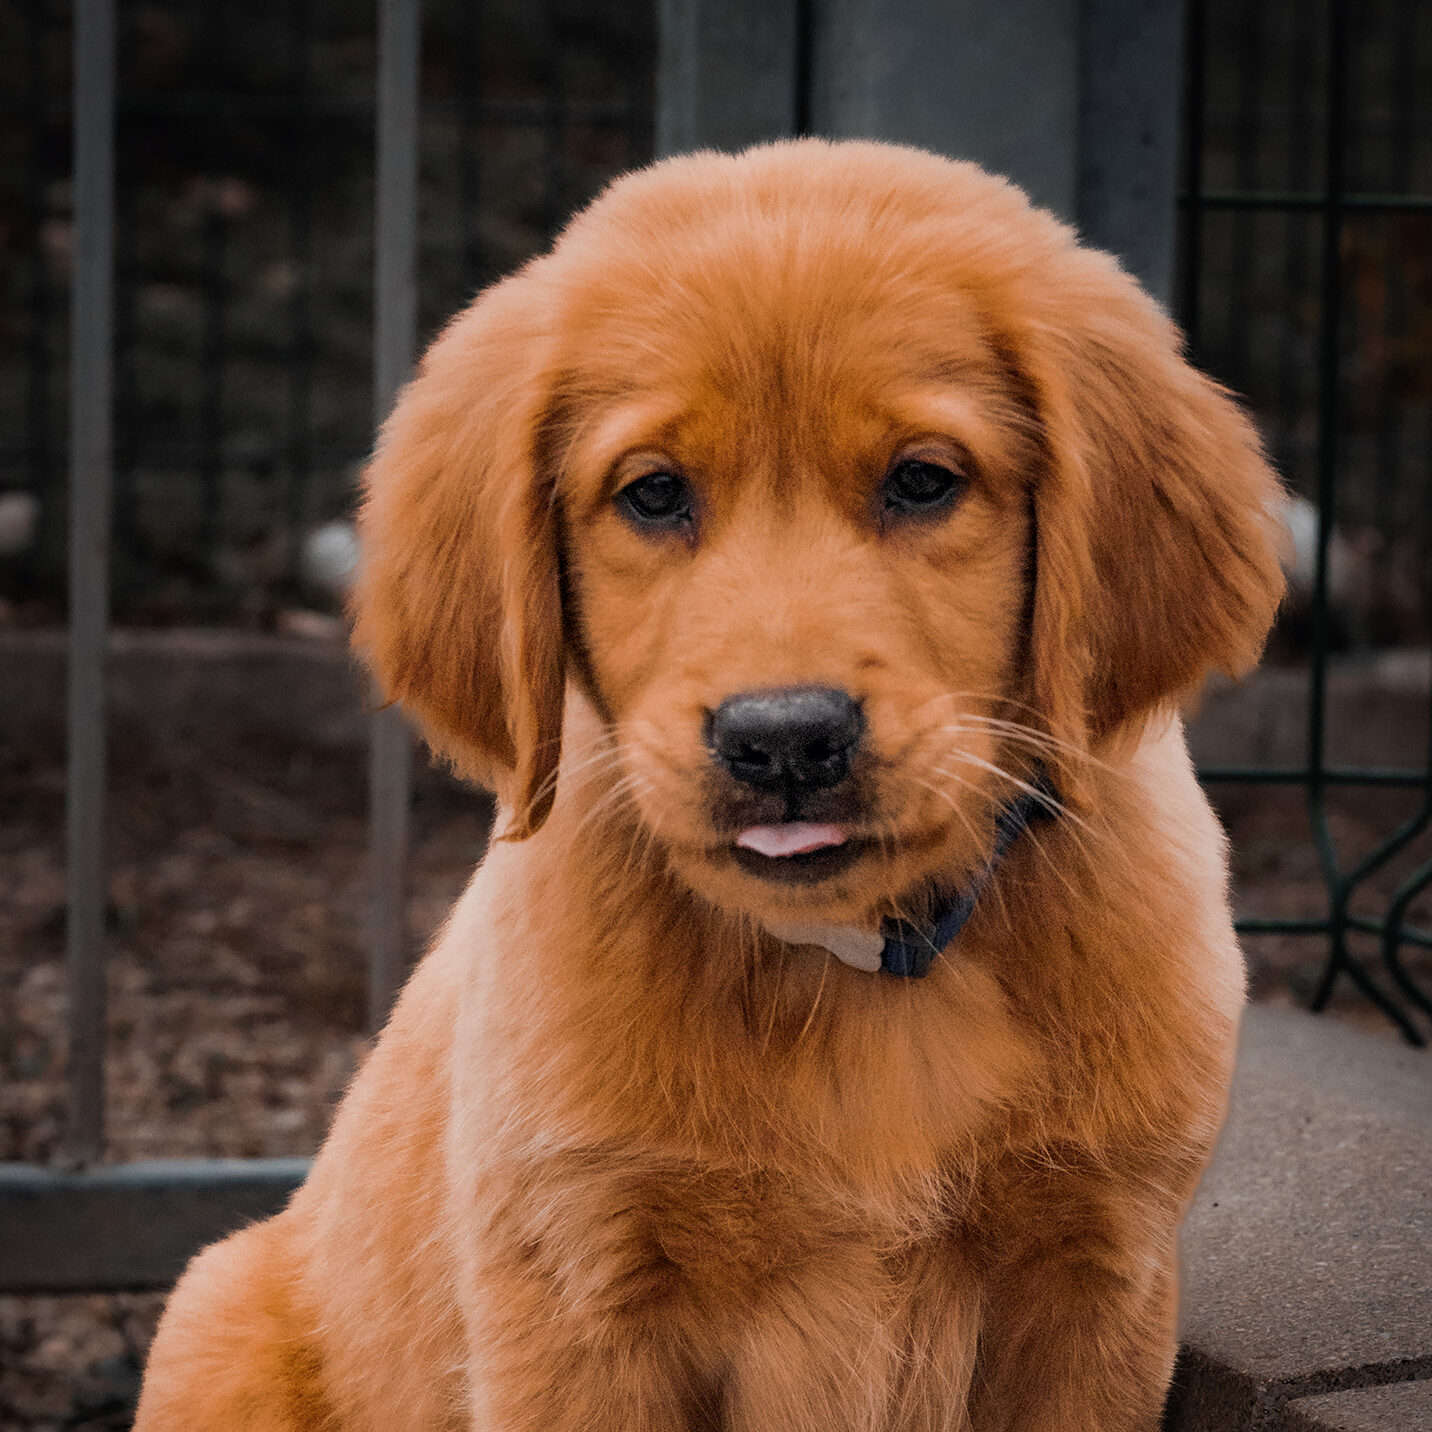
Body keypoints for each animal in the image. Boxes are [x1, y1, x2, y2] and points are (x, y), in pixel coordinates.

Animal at [134, 142, 1288, 1432]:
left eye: (922, 482)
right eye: (652, 494)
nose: (783, 740)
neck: (859, 969)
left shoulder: (1097, 1282)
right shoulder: (578, 1298)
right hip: (214, 1325)